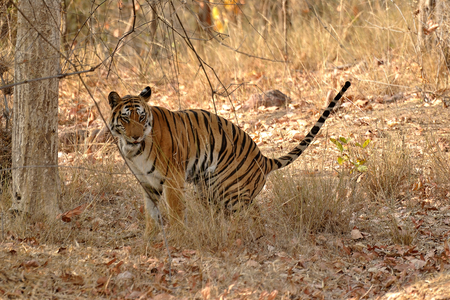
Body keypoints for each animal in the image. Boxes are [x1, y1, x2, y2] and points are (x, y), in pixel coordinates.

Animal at [109, 81, 352, 236]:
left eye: (141, 117)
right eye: (126, 118)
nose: (136, 136)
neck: (134, 150)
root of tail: (263, 158)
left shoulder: (173, 179)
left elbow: (175, 211)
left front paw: (178, 237)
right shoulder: (147, 182)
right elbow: (151, 214)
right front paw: (148, 241)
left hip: (227, 188)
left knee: (251, 215)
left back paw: (241, 235)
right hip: (208, 189)